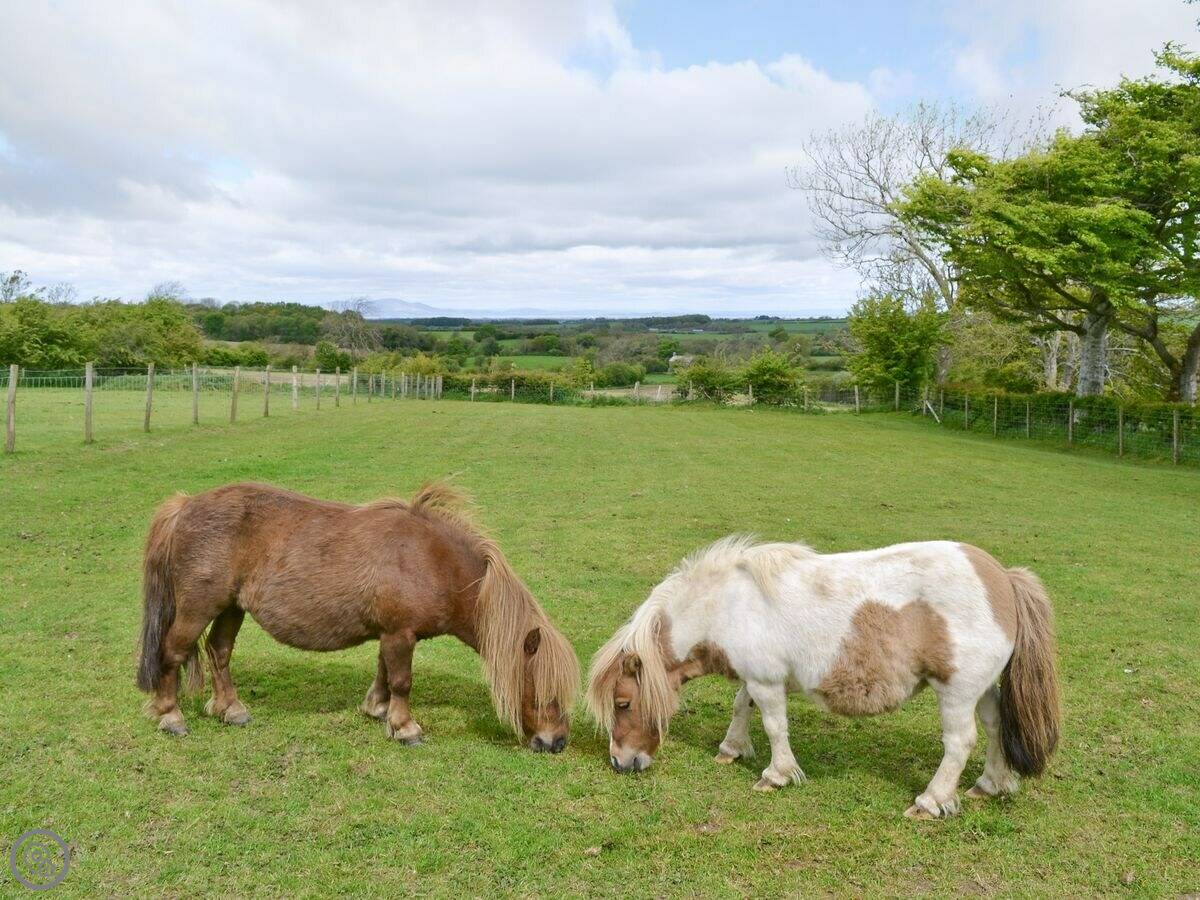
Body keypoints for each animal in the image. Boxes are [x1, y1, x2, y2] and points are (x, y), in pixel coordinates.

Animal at [136, 481, 579, 751]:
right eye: (543, 691)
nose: (556, 742)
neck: (430, 560)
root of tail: (185, 506)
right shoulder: (400, 633)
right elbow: (402, 681)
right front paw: (406, 728)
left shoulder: (393, 633)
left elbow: (384, 673)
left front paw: (378, 710)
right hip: (198, 607)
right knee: (172, 652)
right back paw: (171, 716)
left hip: (231, 607)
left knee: (219, 652)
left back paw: (231, 709)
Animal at [586, 536, 1059, 819]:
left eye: (623, 703)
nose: (620, 762)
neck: (729, 604)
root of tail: (1003, 578)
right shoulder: (755, 675)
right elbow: (741, 706)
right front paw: (731, 749)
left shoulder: (766, 681)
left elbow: (774, 725)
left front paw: (775, 775)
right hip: (981, 689)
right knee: (996, 726)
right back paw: (991, 784)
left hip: (957, 692)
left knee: (960, 743)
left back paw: (930, 802)